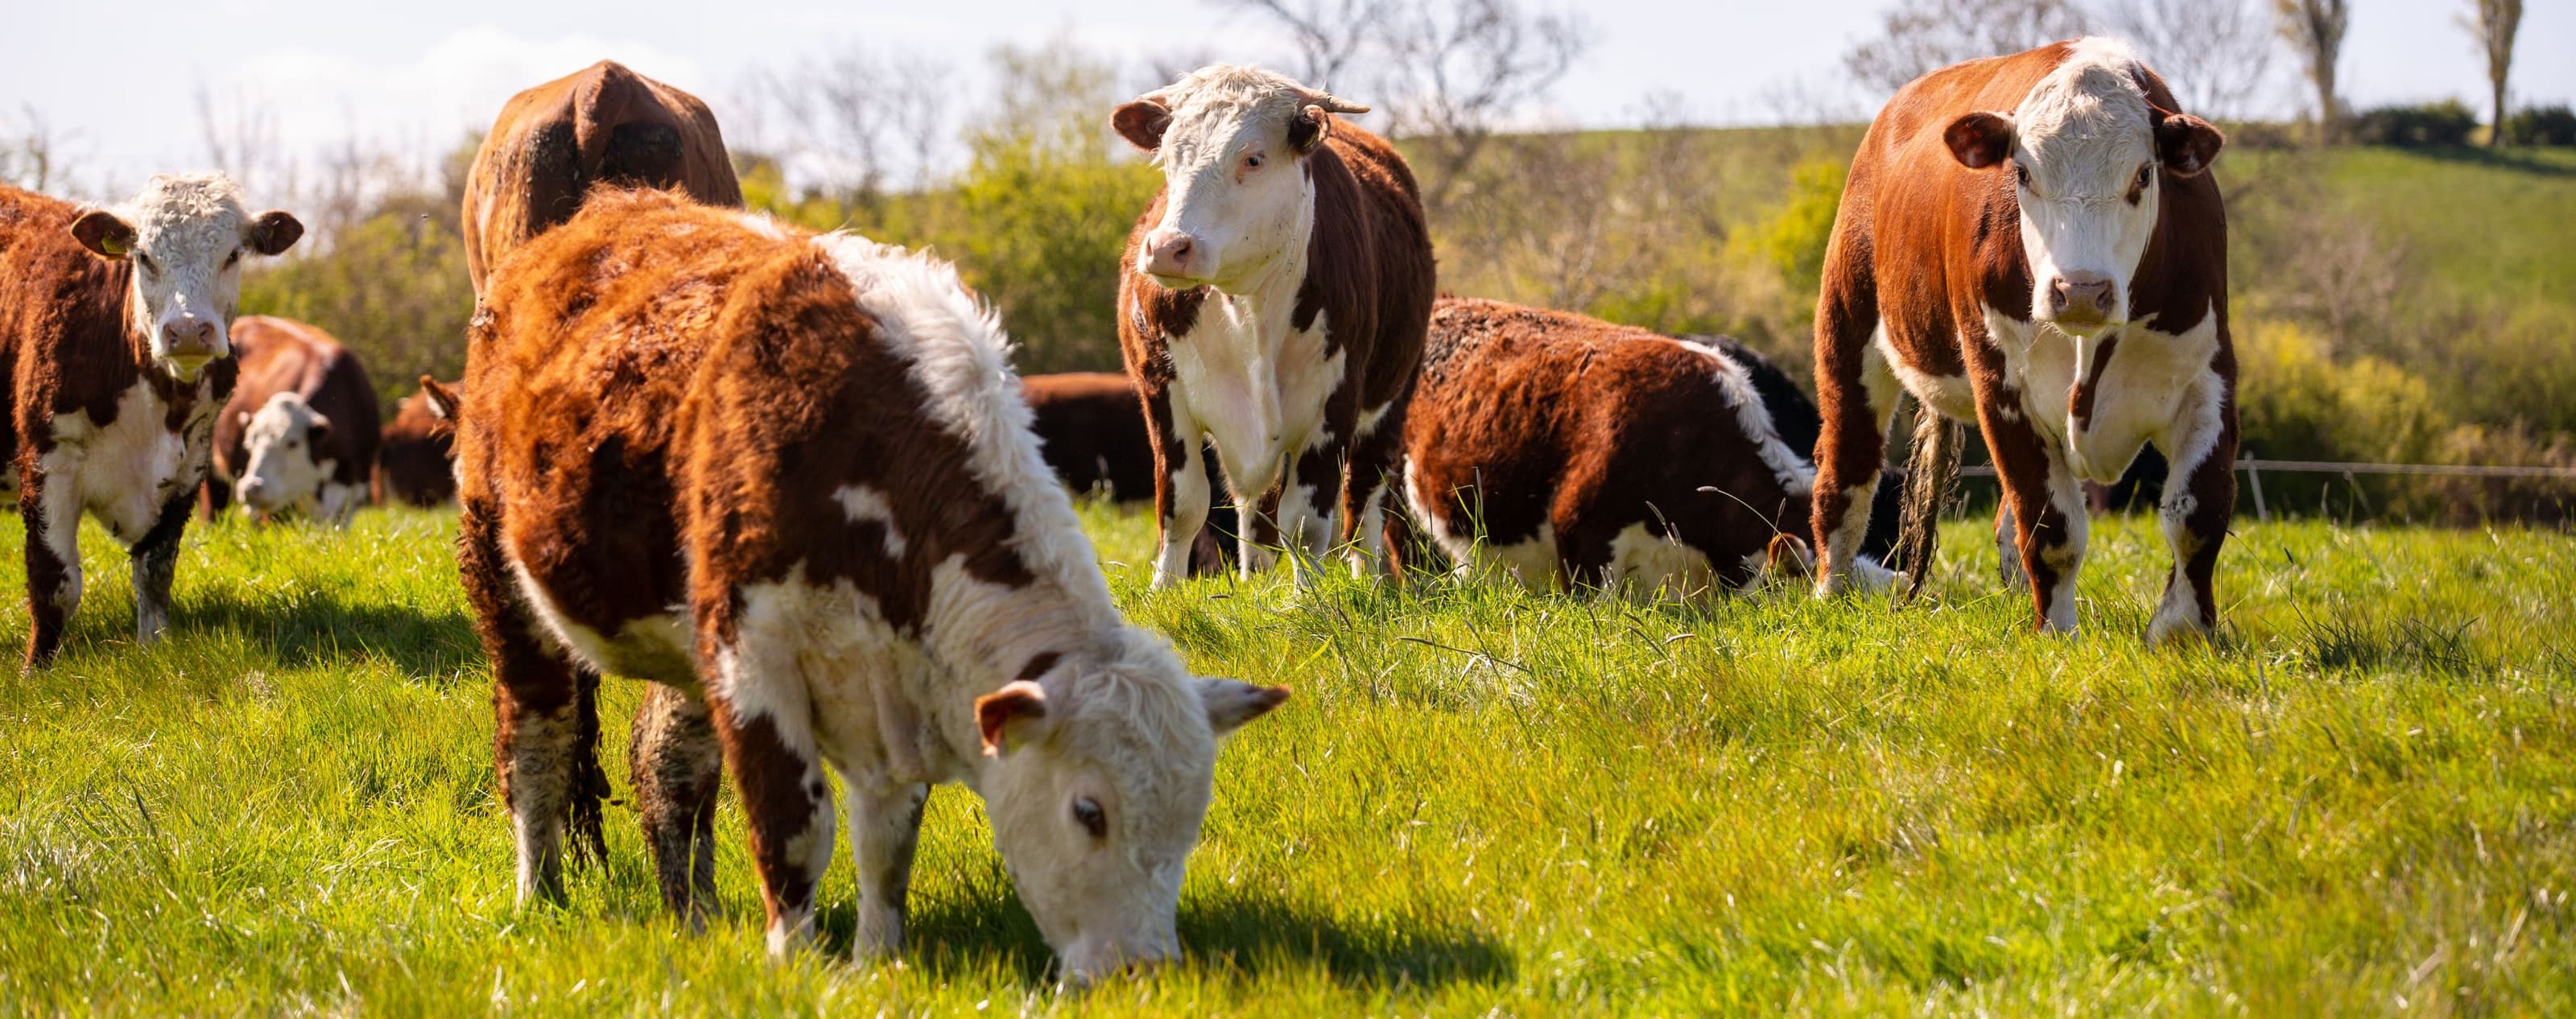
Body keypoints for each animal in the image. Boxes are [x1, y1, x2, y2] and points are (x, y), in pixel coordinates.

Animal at [0, 175, 302, 667]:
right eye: (144, 256)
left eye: (233, 255)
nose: (189, 331)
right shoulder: (48, 462)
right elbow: (55, 584)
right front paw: (36, 669)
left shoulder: (188, 465)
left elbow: (155, 573)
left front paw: (153, 653)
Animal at [453, 188, 1287, 980]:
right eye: (1089, 810)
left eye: (1192, 815)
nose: (1143, 969)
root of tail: (607, 208)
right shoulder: (752, 657)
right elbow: (794, 826)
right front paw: (796, 963)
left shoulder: (893, 682)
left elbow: (888, 843)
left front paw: (878, 958)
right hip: (498, 571)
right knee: (537, 741)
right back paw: (539, 896)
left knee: (673, 766)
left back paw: (695, 914)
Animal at [1114, 65, 1436, 587]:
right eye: (1169, 155)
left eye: (1253, 158)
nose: (1166, 248)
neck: (1248, 309)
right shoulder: (1161, 390)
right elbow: (1181, 507)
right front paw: (1164, 590)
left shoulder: (1334, 404)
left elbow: (1306, 524)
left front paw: (1311, 600)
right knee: (1254, 511)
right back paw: (1253, 583)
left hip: (1389, 401)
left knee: (1363, 502)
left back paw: (1369, 581)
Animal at [1809, 38, 2234, 643]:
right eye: (2025, 174)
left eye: (2144, 175)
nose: (2080, 290)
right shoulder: (2003, 388)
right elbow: (2052, 527)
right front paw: (2057, 634)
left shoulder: (2208, 377)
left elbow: (2197, 513)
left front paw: (2183, 634)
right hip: (1848, 327)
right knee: (1848, 465)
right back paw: (1833, 590)